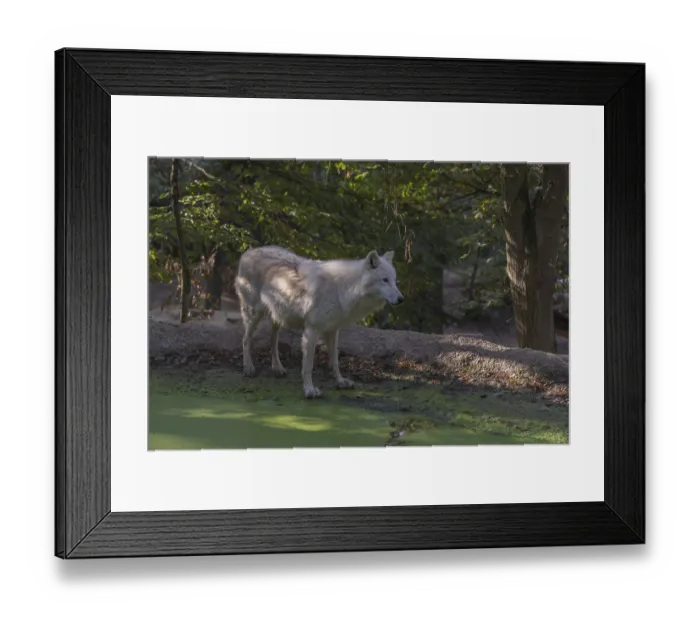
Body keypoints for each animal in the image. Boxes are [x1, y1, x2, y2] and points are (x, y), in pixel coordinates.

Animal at [234, 246, 404, 398]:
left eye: (395, 281)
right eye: (385, 280)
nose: (401, 299)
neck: (344, 289)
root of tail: (248, 252)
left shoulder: (333, 330)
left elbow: (335, 360)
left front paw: (341, 382)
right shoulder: (311, 331)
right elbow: (308, 365)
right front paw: (309, 390)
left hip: (278, 317)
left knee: (273, 340)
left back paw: (277, 368)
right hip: (254, 314)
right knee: (245, 339)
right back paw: (248, 368)